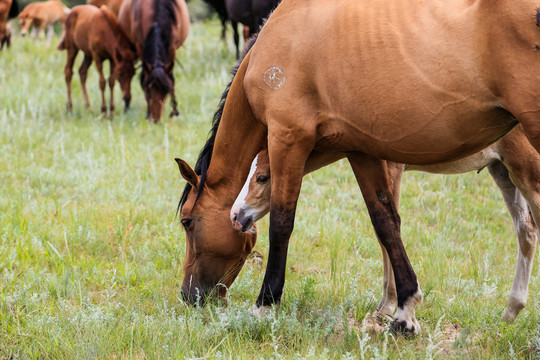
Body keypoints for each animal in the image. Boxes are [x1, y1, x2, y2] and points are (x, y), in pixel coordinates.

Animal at [231, 124, 540, 324]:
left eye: (262, 177)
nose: (236, 216)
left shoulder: (390, 167)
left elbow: (389, 228)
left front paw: (391, 306)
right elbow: (387, 230)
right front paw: (389, 304)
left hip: (526, 169)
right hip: (502, 169)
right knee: (526, 229)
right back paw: (511, 312)